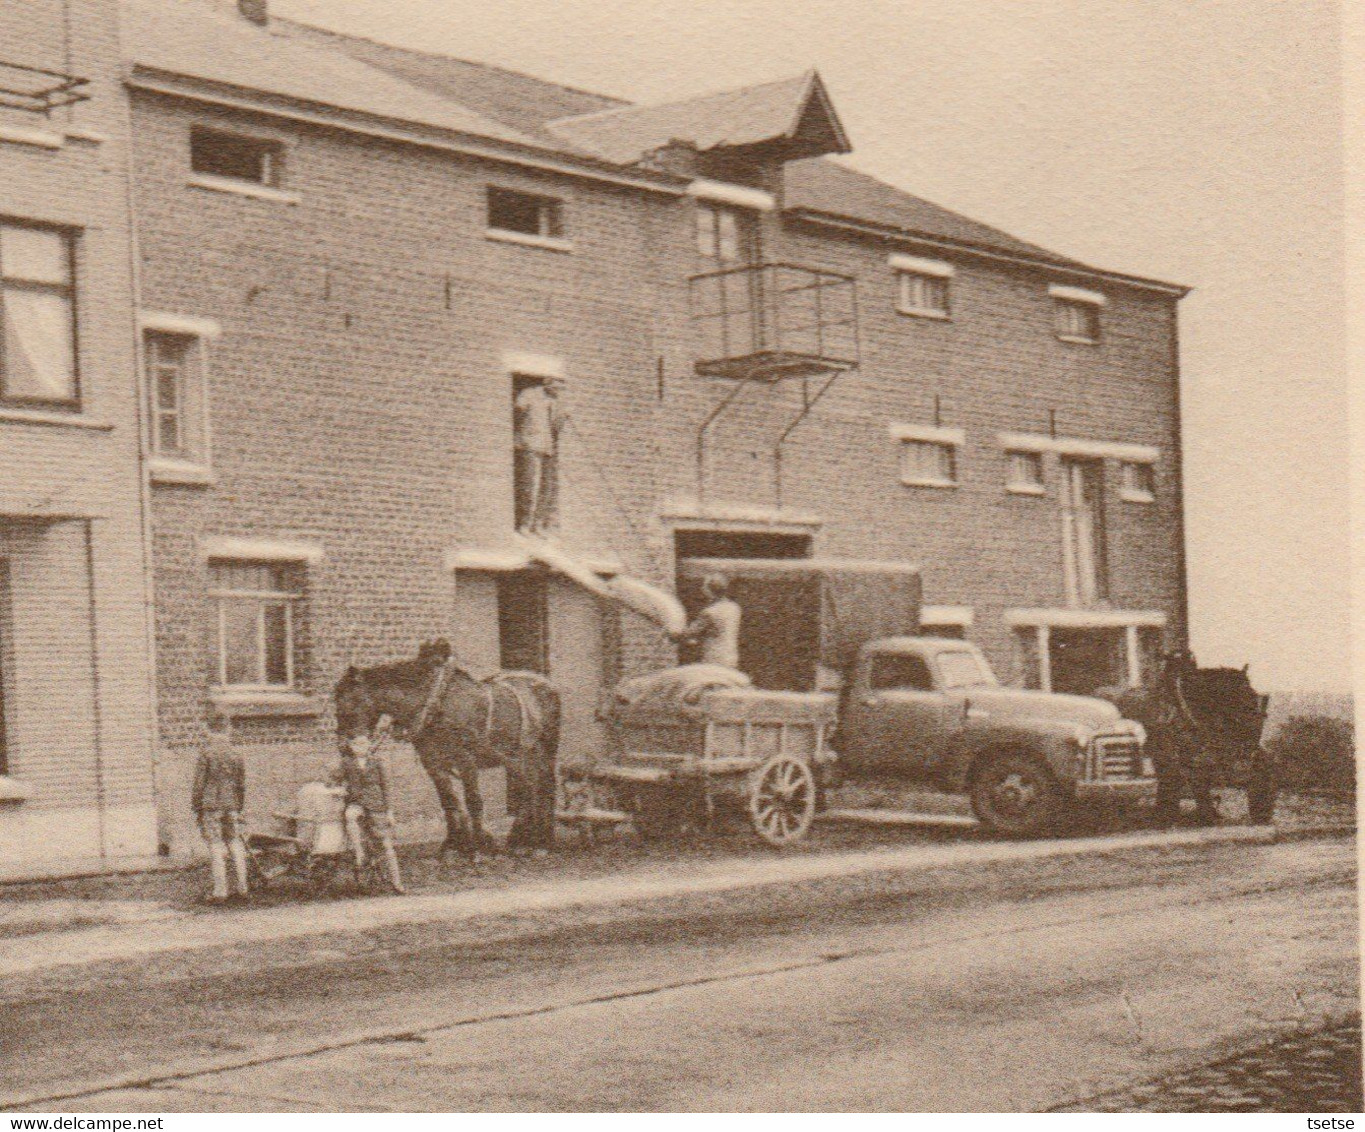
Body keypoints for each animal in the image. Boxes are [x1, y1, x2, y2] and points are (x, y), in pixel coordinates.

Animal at [334, 636, 559, 857]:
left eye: (349, 701)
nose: (344, 746)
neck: (437, 704)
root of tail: (547, 684)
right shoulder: (433, 763)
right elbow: (448, 801)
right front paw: (454, 845)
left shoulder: (466, 759)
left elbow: (473, 800)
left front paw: (482, 846)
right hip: (518, 755)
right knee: (530, 786)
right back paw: (522, 838)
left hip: (544, 751)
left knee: (543, 786)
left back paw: (540, 842)